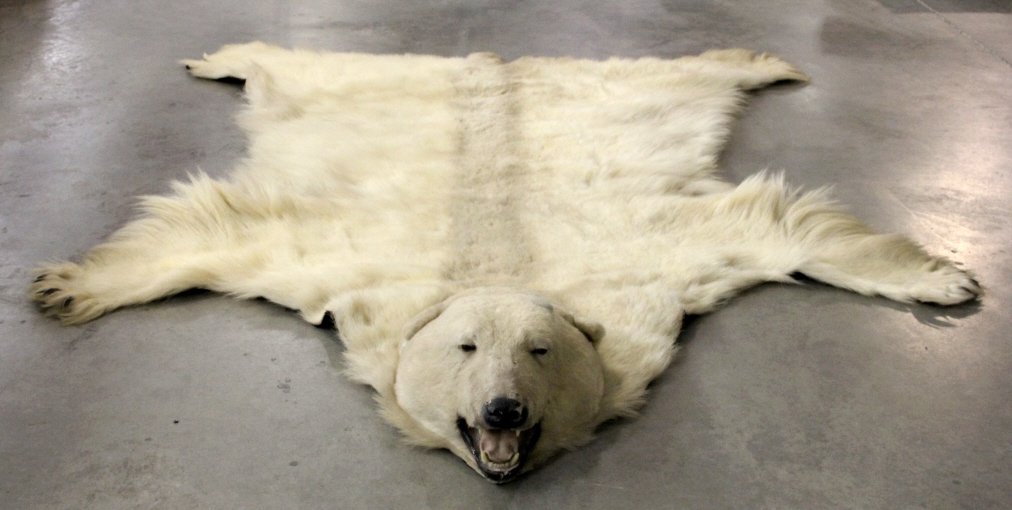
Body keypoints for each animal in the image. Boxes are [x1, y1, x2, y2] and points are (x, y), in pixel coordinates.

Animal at [30, 43, 980, 483]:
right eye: (464, 349)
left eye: (540, 350)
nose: (503, 411)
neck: (491, 267)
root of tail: (492, 60)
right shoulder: (336, 257)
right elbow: (211, 232)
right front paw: (64, 283)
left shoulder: (657, 259)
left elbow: (784, 227)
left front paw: (947, 277)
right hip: (357, 80)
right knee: (297, 64)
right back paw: (223, 55)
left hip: (624, 93)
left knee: (687, 73)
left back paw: (763, 60)